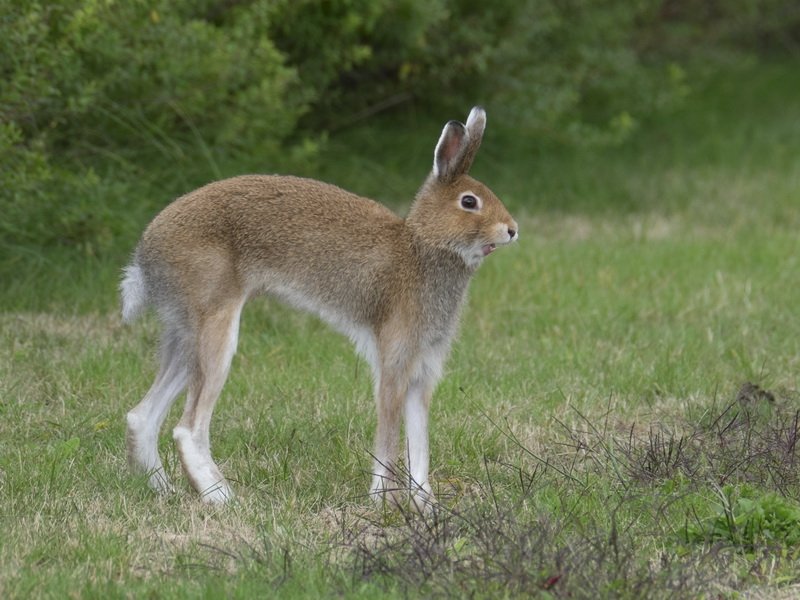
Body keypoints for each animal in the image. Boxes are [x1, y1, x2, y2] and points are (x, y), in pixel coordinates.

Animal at [121, 106, 518, 510]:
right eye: (469, 202)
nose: (512, 229)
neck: (422, 246)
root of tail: (146, 253)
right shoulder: (395, 362)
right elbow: (389, 437)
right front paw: (382, 503)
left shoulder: (422, 371)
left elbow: (419, 443)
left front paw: (426, 505)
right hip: (215, 324)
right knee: (188, 427)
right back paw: (222, 496)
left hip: (186, 333)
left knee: (142, 416)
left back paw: (164, 489)